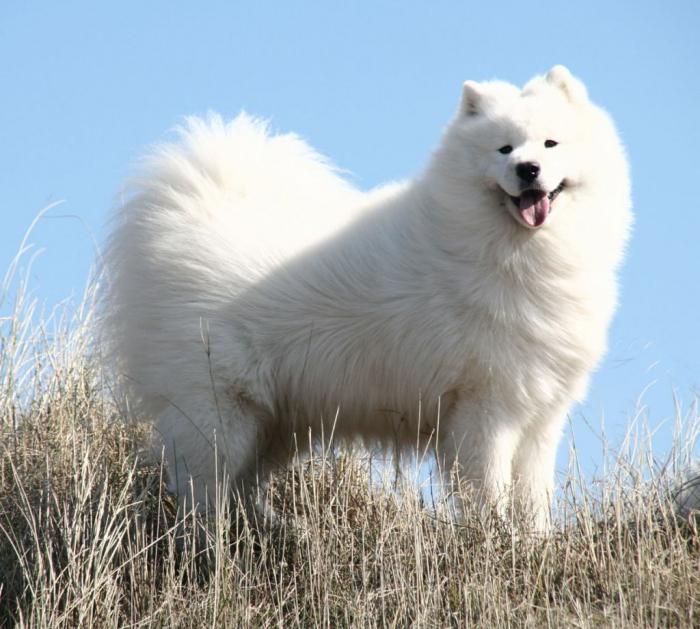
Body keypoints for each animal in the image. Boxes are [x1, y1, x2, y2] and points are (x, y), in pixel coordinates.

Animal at [105, 66, 636, 528]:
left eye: (550, 143)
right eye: (502, 148)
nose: (528, 169)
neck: (515, 253)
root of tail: (191, 213)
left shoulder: (539, 417)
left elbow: (533, 498)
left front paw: (533, 544)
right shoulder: (484, 409)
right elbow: (488, 491)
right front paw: (494, 540)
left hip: (273, 425)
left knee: (240, 488)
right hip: (219, 413)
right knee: (202, 491)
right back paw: (209, 548)